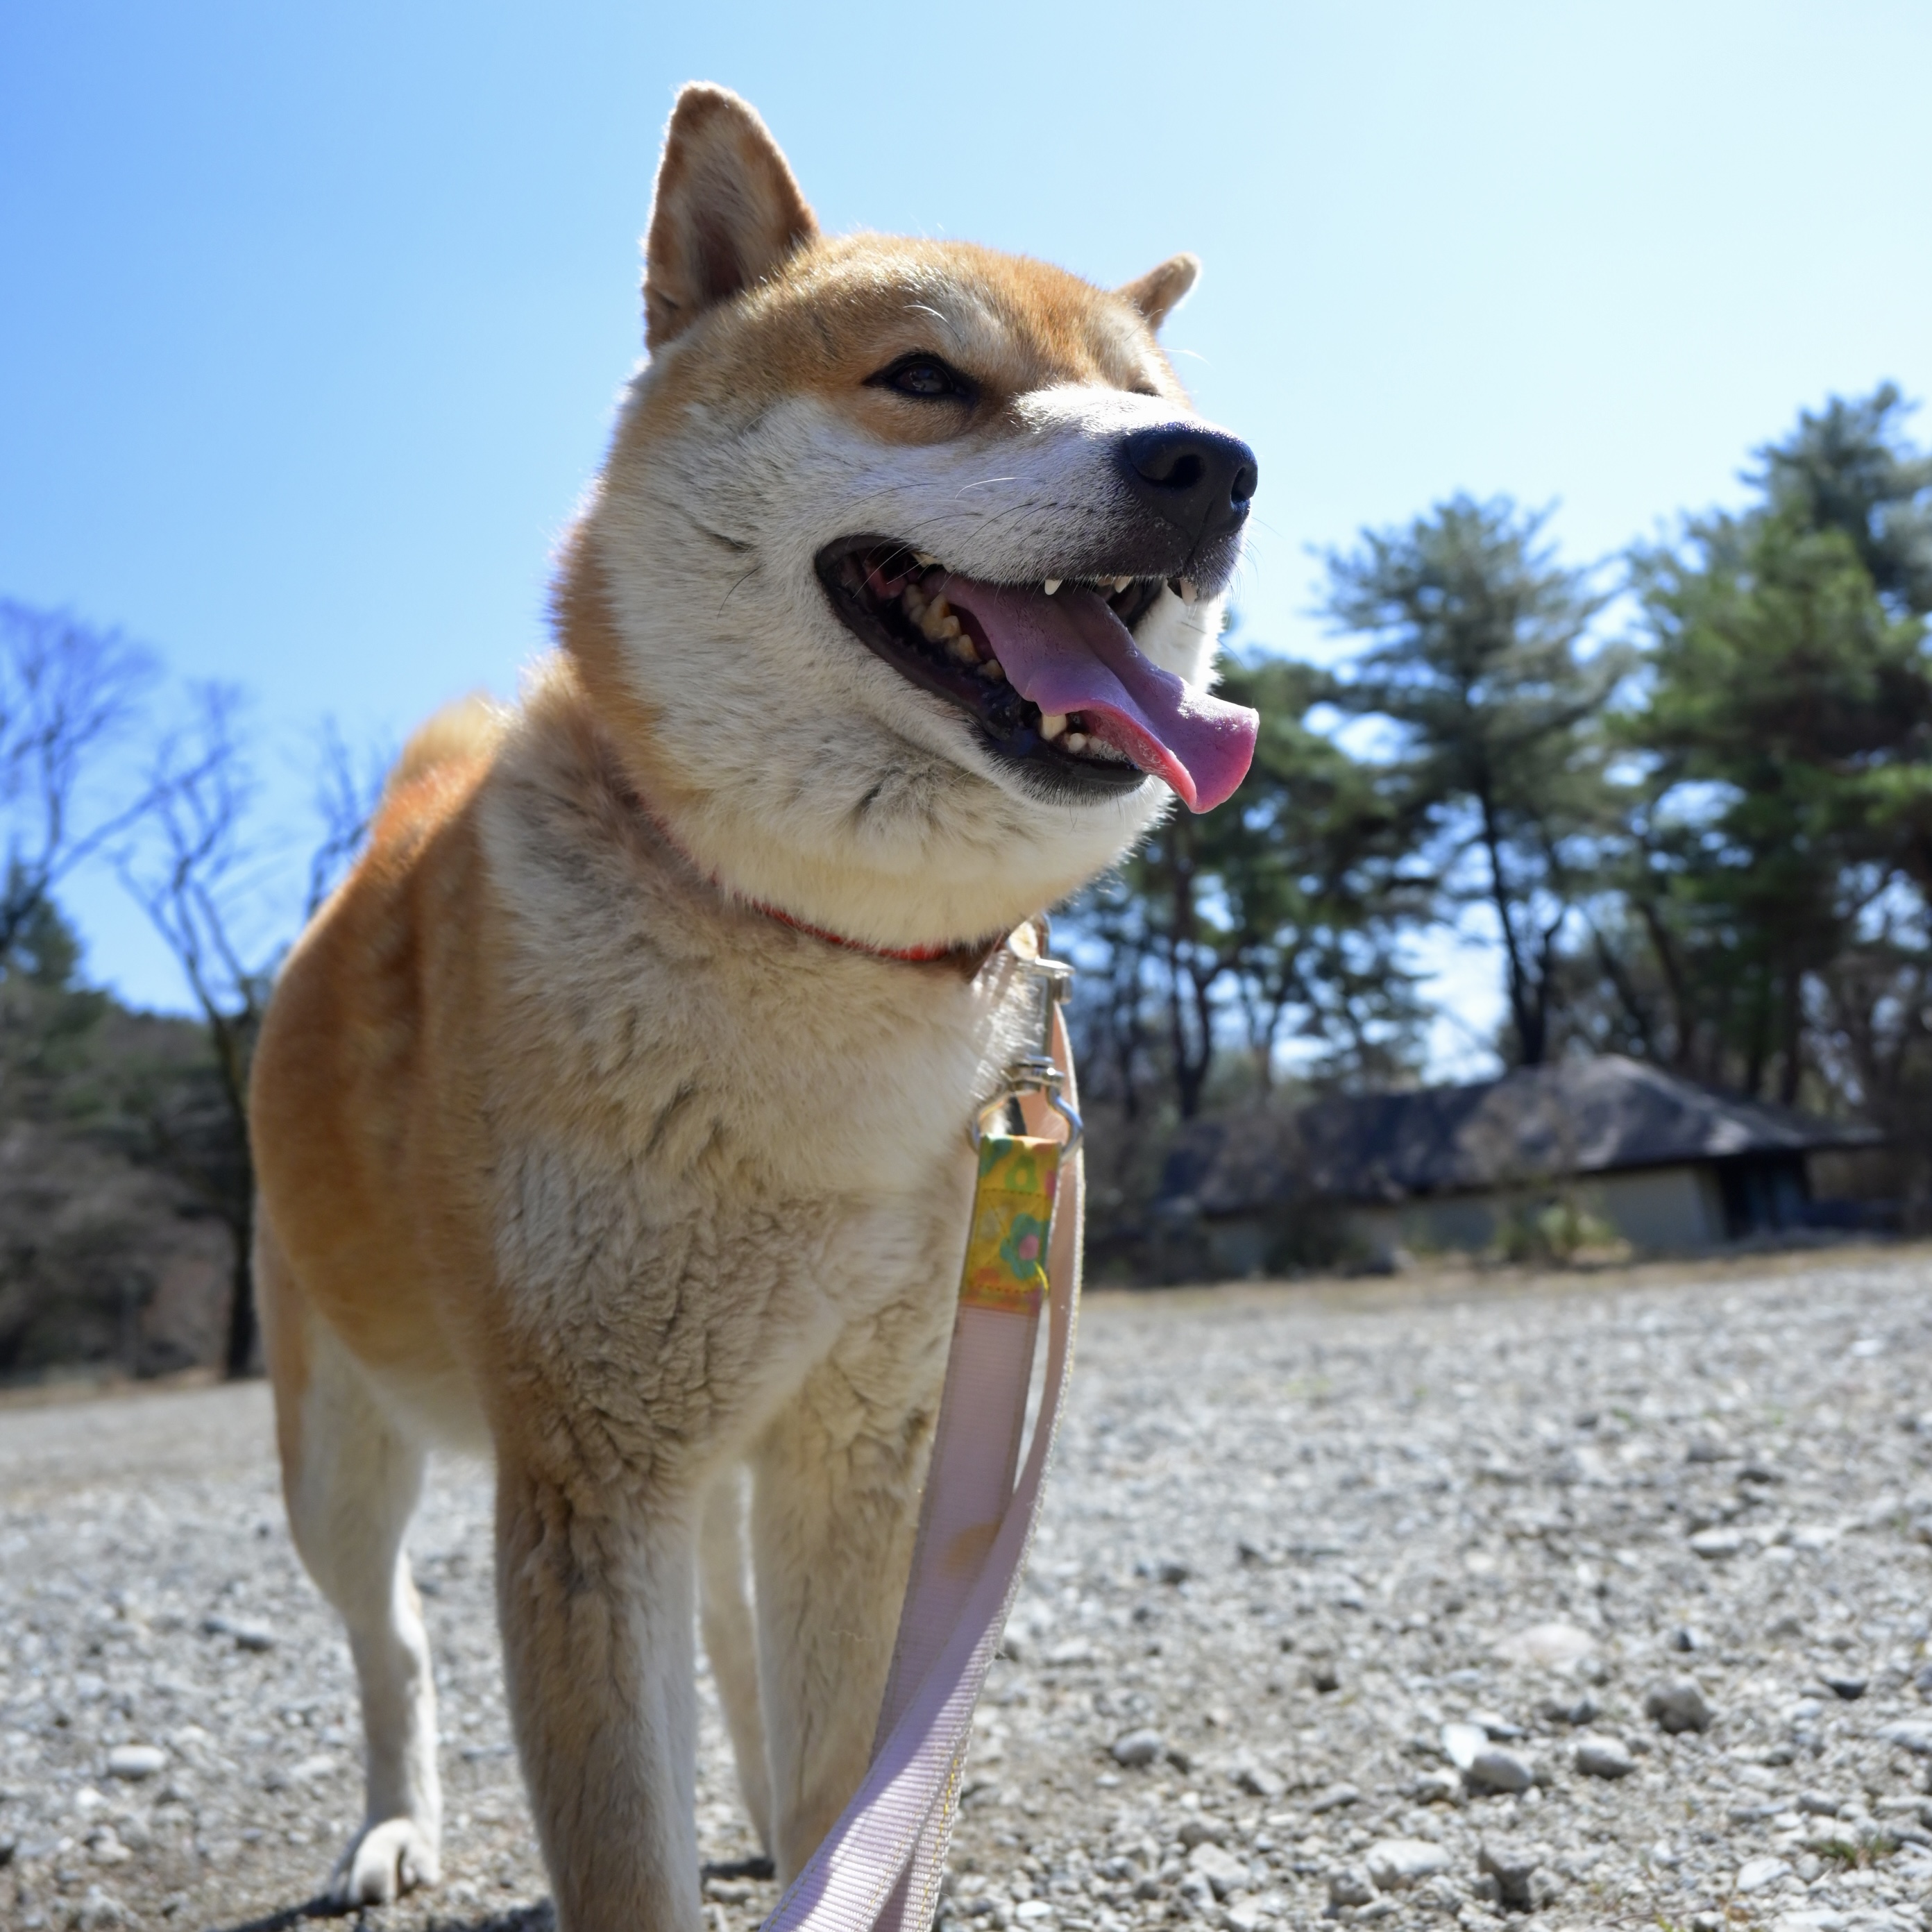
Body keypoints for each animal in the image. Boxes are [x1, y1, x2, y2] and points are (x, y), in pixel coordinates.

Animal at [249, 79, 1260, 1932]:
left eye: (1154, 402)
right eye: (925, 377)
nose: (1210, 467)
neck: (822, 946)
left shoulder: (862, 1443)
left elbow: (842, 1783)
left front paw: (813, 1850)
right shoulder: (588, 1480)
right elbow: (620, 1848)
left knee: (724, 1650)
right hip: (340, 1448)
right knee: (391, 1642)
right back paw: (391, 1828)